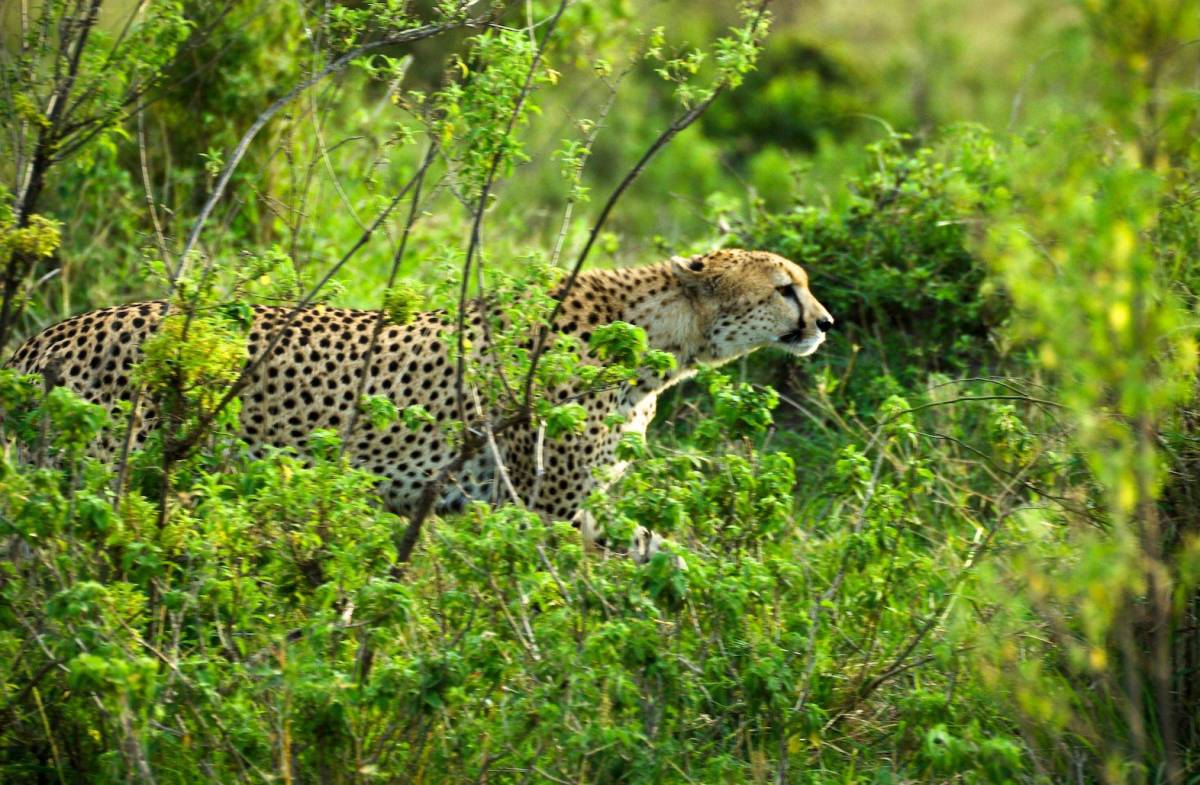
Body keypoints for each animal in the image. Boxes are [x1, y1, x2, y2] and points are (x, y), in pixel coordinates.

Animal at [4, 248, 834, 561]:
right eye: (783, 287)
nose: (825, 322)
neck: (662, 340)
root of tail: (48, 332)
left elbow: (664, 552)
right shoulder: (549, 510)